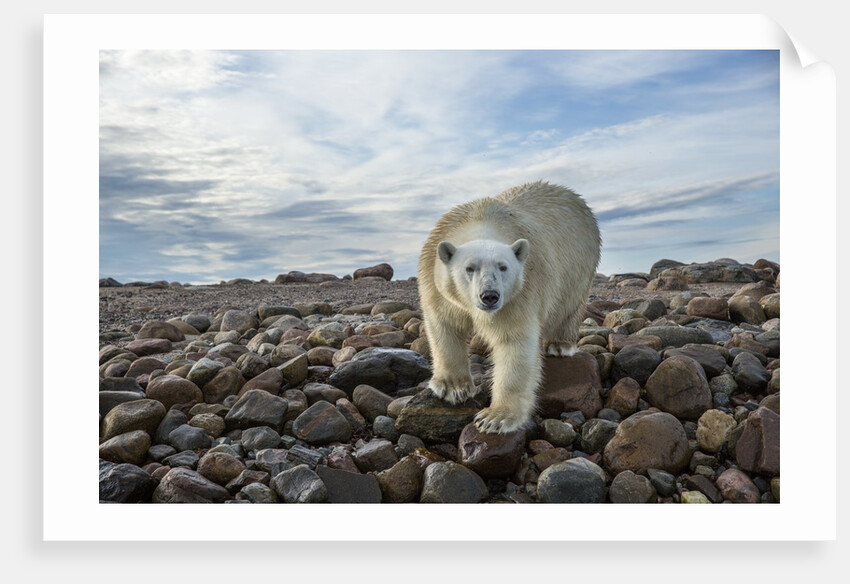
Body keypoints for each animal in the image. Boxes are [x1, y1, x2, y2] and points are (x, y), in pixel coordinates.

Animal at [417, 181, 601, 434]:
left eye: (503, 267)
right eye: (469, 268)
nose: (489, 296)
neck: (480, 218)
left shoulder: (521, 292)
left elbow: (514, 342)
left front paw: (495, 417)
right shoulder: (436, 284)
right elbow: (445, 326)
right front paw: (453, 387)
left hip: (579, 266)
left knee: (568, 305)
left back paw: (559, 344)